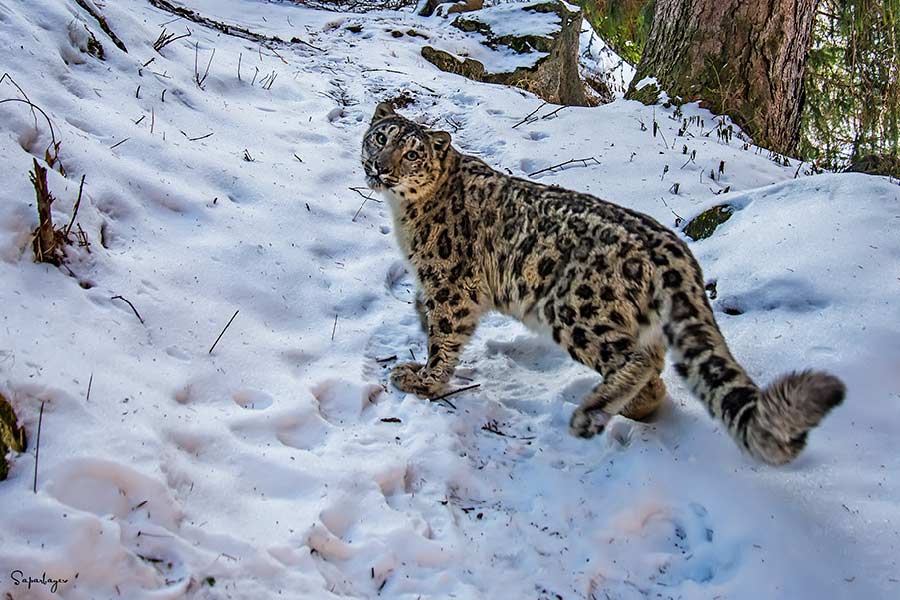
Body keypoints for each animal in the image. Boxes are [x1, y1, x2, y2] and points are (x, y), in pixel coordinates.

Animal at [361, 101, 845, 465]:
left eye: (412, 154)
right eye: (381, 138)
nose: (378, 167)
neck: (404, 215)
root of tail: (675, 250)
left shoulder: (450, 284)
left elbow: (444, 337)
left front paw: (423, 380)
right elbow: (425, 314)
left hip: (575, 309)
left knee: (637, 360)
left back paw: (591, 413)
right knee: (654, 369)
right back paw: (629, 409)